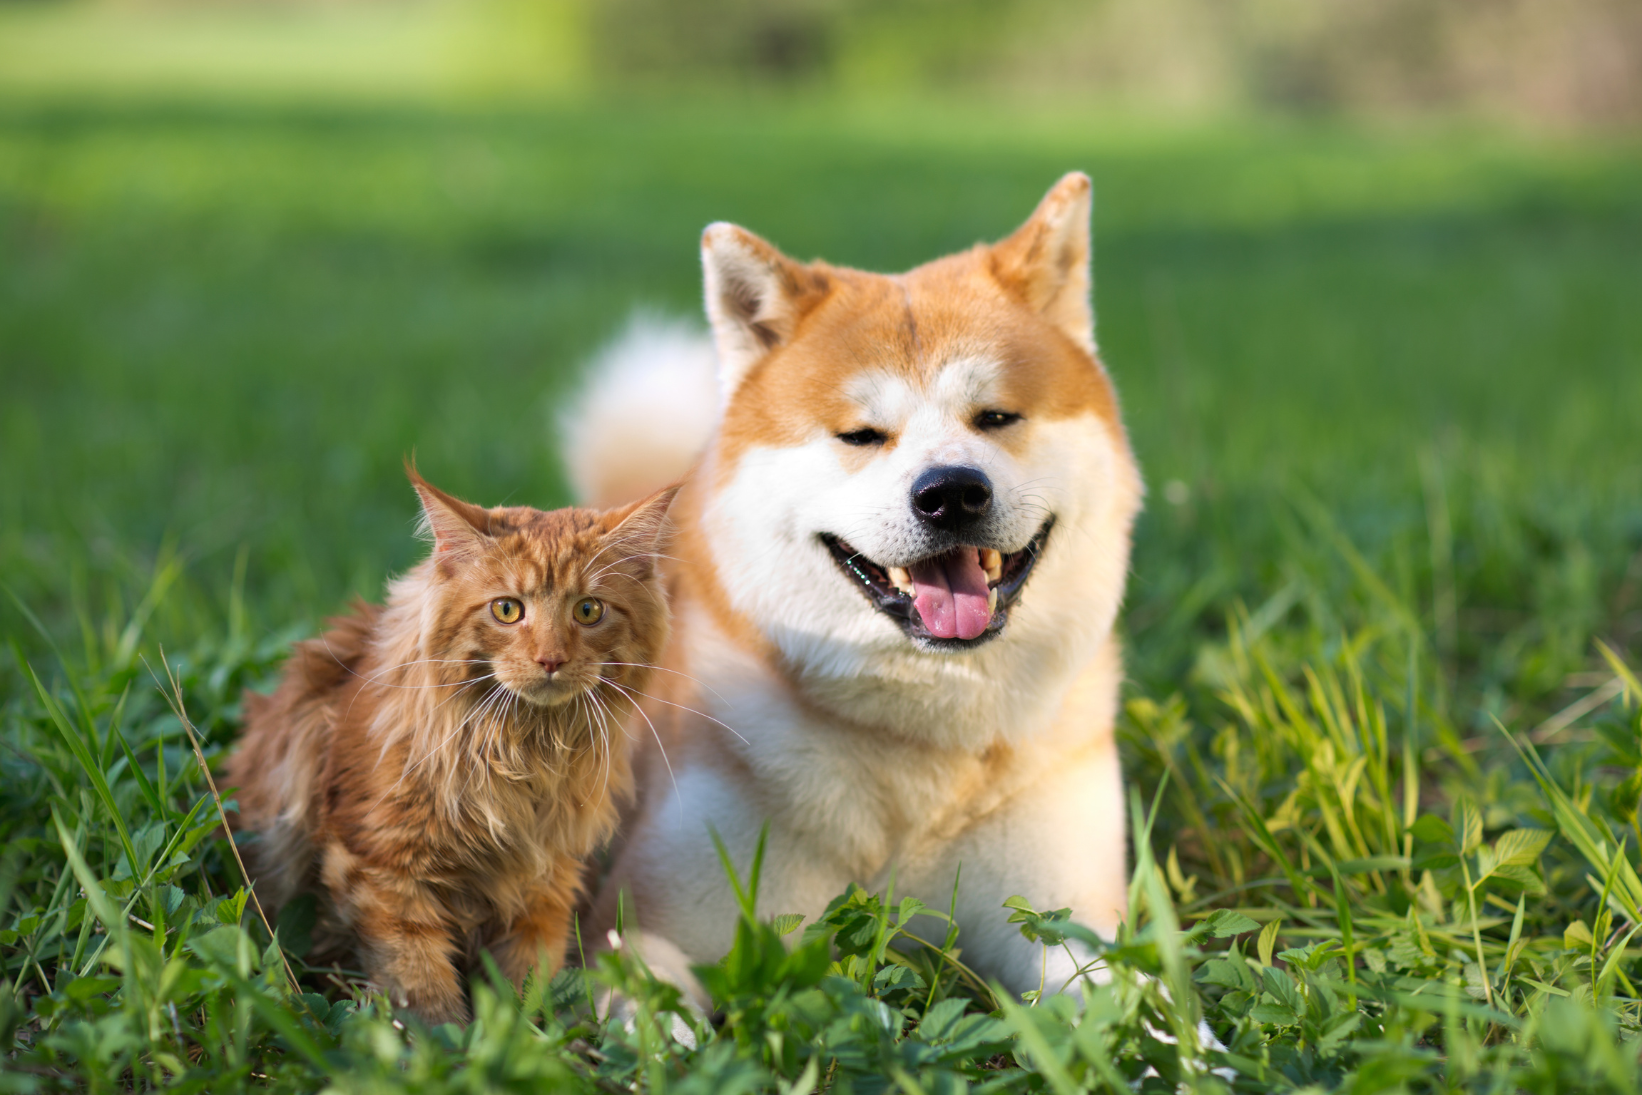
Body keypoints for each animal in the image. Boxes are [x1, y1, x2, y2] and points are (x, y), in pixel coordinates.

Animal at [224, 469, 673, 1030]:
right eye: (507, 610)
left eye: (588, 611)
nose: (550, 659)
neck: (521, 752)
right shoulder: (382, 867)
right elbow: (420, 984)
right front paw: (445, 1038)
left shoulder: (546, 884)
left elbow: (524, 986)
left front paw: (518, 1036)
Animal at [564, 173, 1142, 1004]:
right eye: (861, 435)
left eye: (997, 416)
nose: (952, 492)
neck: (920, 743)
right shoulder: (640, 930)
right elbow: (655, 1008)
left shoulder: (1077, 926)